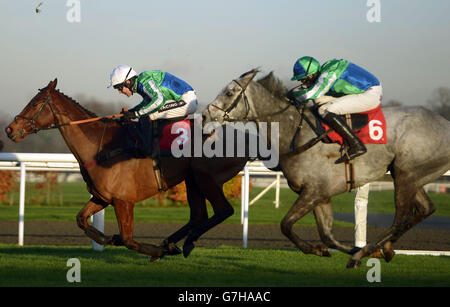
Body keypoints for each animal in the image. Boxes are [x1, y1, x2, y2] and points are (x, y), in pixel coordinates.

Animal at [5, 79, 248, 260]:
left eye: (35, 103)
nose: (10, 129)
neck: (100, 146)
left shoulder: (124, 201)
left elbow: (129, 240)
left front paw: (155, 251)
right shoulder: (102, 197)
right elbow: (81, 219)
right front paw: (109, 239)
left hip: (205, 177)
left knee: (224, 210)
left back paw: (183, 244)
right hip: (192, 179)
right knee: (198, 215)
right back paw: (173, 242)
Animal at [203, 68, 450, 268]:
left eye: (229, 93)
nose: (206, 114)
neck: (296, 133)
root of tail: (445, 123)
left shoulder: (315, 191)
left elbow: (285, 225)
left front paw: (332, 250)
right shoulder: (321, 196)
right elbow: (327, 235)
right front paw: (331, 248)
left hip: (406, 174)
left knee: (401, 218)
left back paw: (363, 254)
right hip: (410, 176)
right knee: (425, 209)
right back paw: (385, 249)